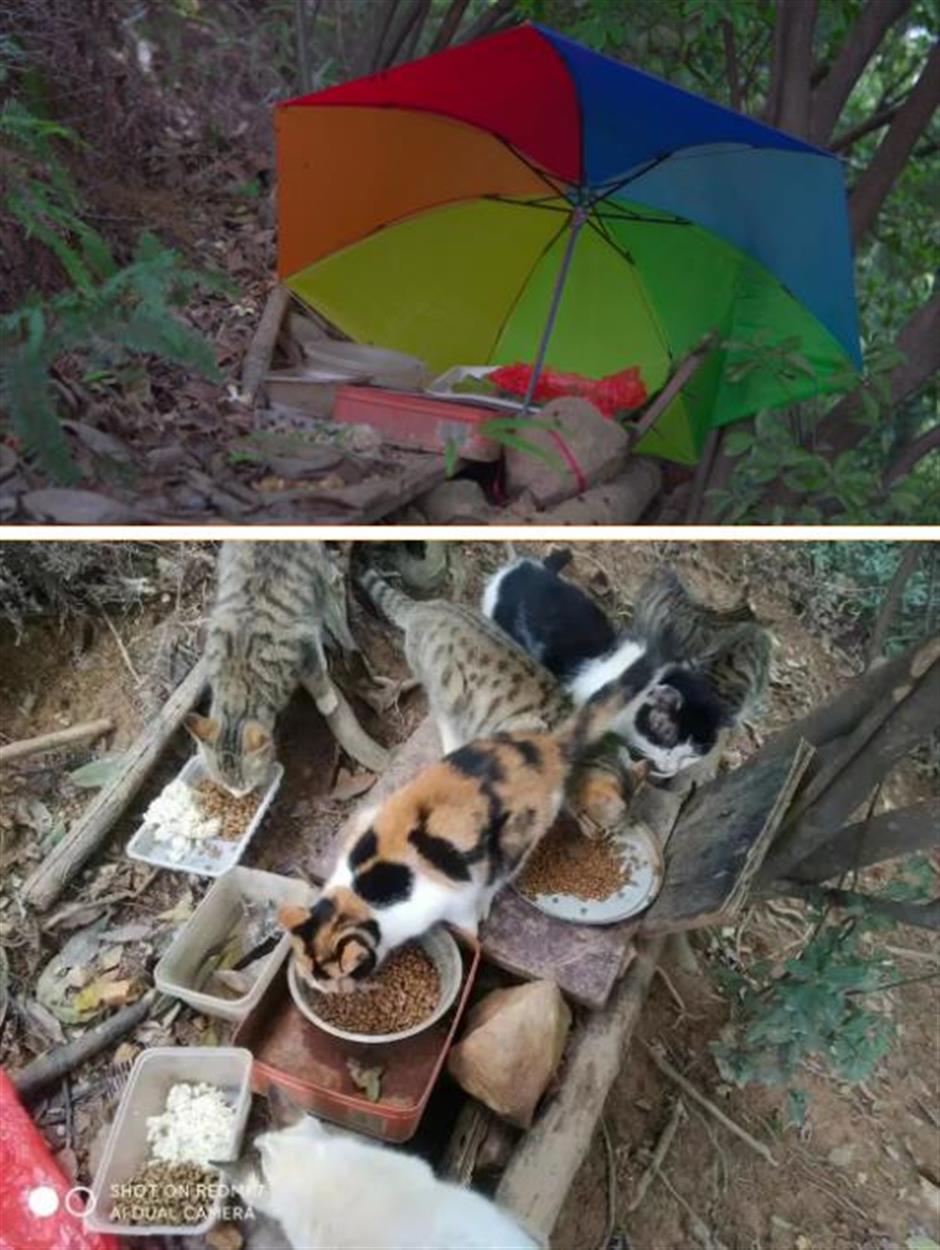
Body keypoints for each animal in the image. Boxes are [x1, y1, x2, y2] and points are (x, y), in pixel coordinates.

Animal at [185, 542, 347, 795]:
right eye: (224, 784)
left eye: (245, 784)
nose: (237, 795)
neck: (238, 679)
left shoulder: (299, 644)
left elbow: (314, 674)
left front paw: (326, 699)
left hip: (315, 578)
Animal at [278, 645, 705, 985]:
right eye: (308, 974)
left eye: (329, 978)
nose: (322, 990)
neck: (364, 893)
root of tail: (548, 747)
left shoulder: (454, 895)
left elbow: (467, 919)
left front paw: (474, 929)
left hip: (516, 839)